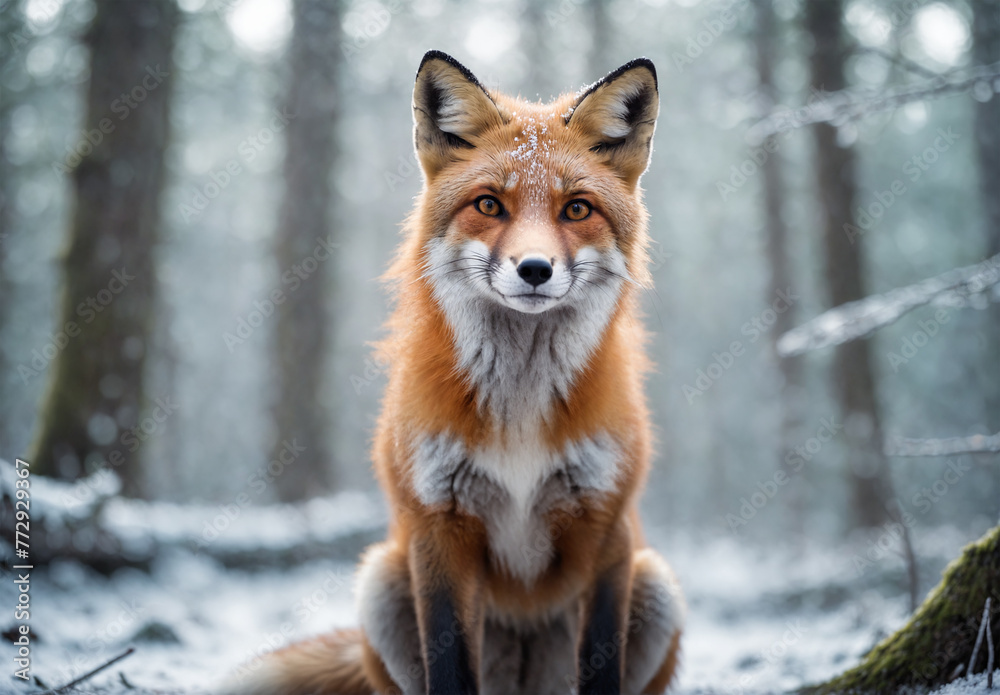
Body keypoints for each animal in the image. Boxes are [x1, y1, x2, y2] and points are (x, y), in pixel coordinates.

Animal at [231, 50, 685, 695]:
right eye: (489, 204)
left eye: (576, 209)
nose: (535, 268)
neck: (519, 409)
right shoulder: (438, 528)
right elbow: (449, 671)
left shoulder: (606, 529)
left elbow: (601, 671)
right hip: (382, 581)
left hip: (655, 583)